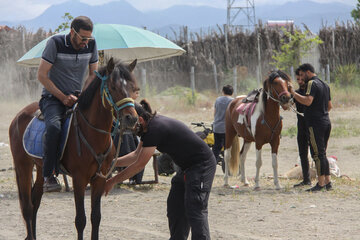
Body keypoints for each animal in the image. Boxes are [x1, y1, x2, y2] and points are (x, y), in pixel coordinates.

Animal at [8, 57, 138, 239]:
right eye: (113, 87)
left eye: (134, 88)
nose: (131, 119)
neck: (92, 133)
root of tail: (18, 116)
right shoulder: (79, 179)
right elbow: (80, 220)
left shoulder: (99, 179)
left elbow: (96, 217)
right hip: (23, 165)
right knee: (27, 206)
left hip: (41, 167)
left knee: (35, 201)